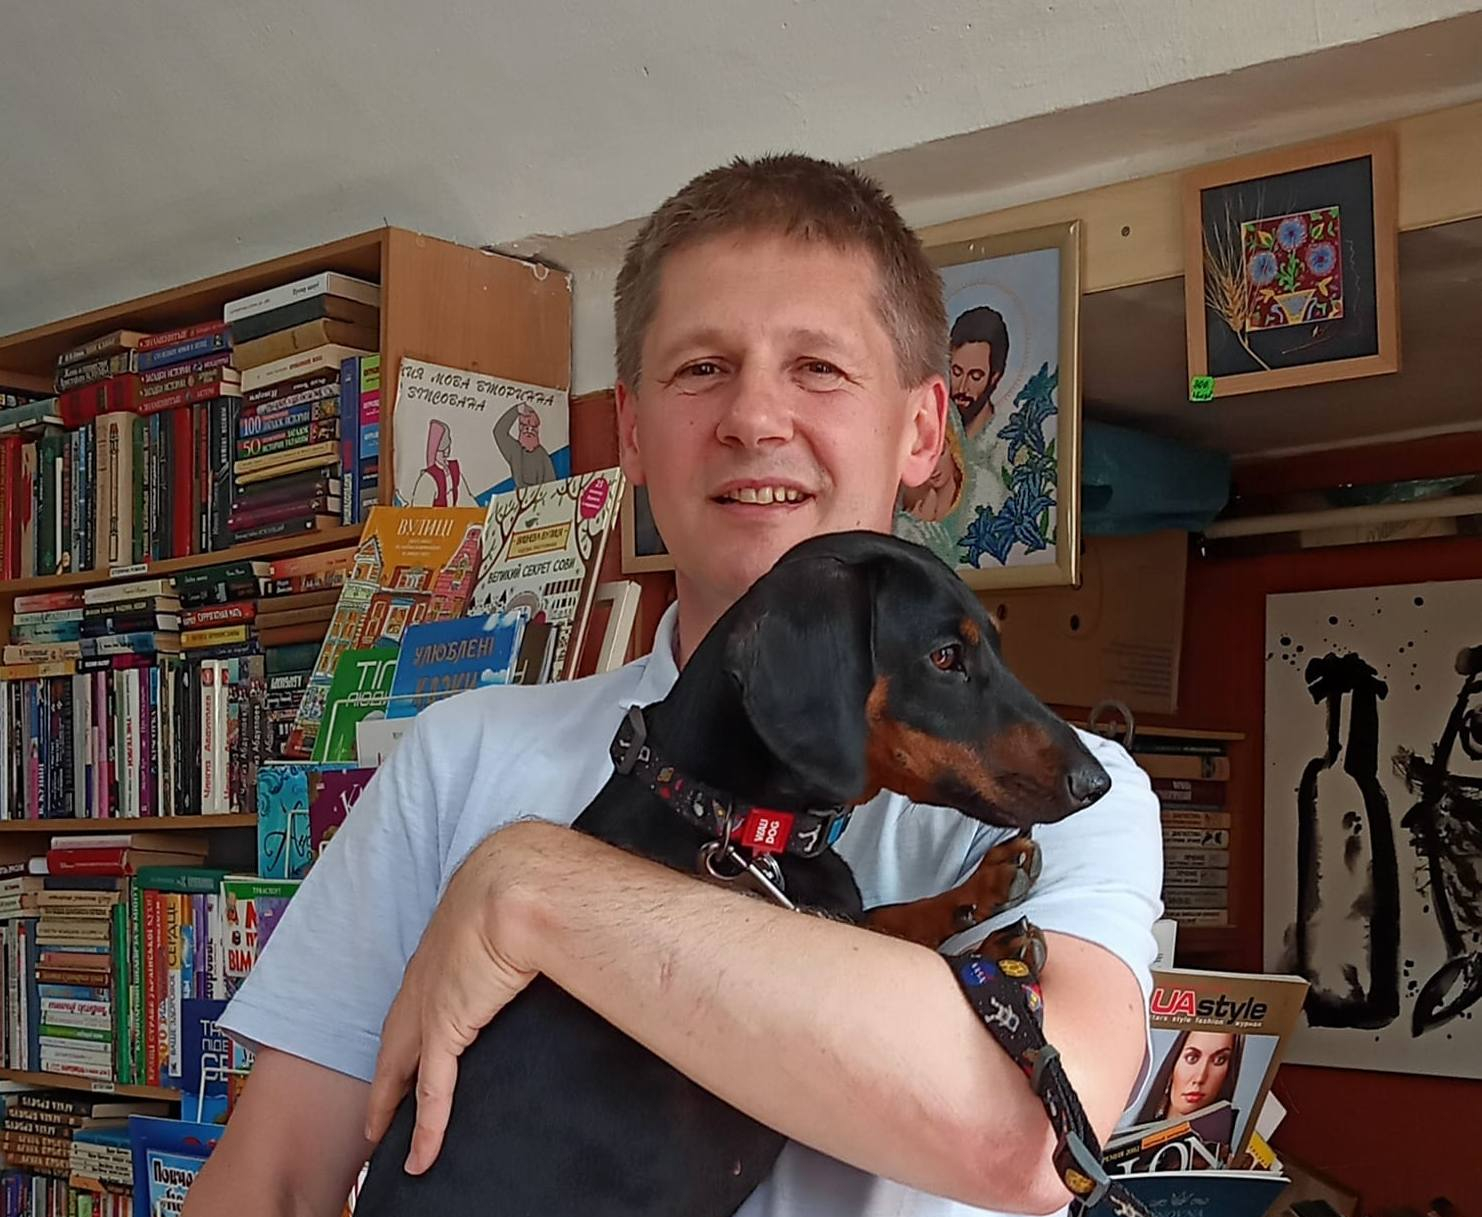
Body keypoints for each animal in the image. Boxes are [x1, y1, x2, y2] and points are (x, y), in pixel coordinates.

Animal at [354, 530, 1111, 1217]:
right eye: (945, 657)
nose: (1096, 781)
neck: (729, 817)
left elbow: (881, 917)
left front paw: (986, 891)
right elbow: (878, 931)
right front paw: (992, 948)